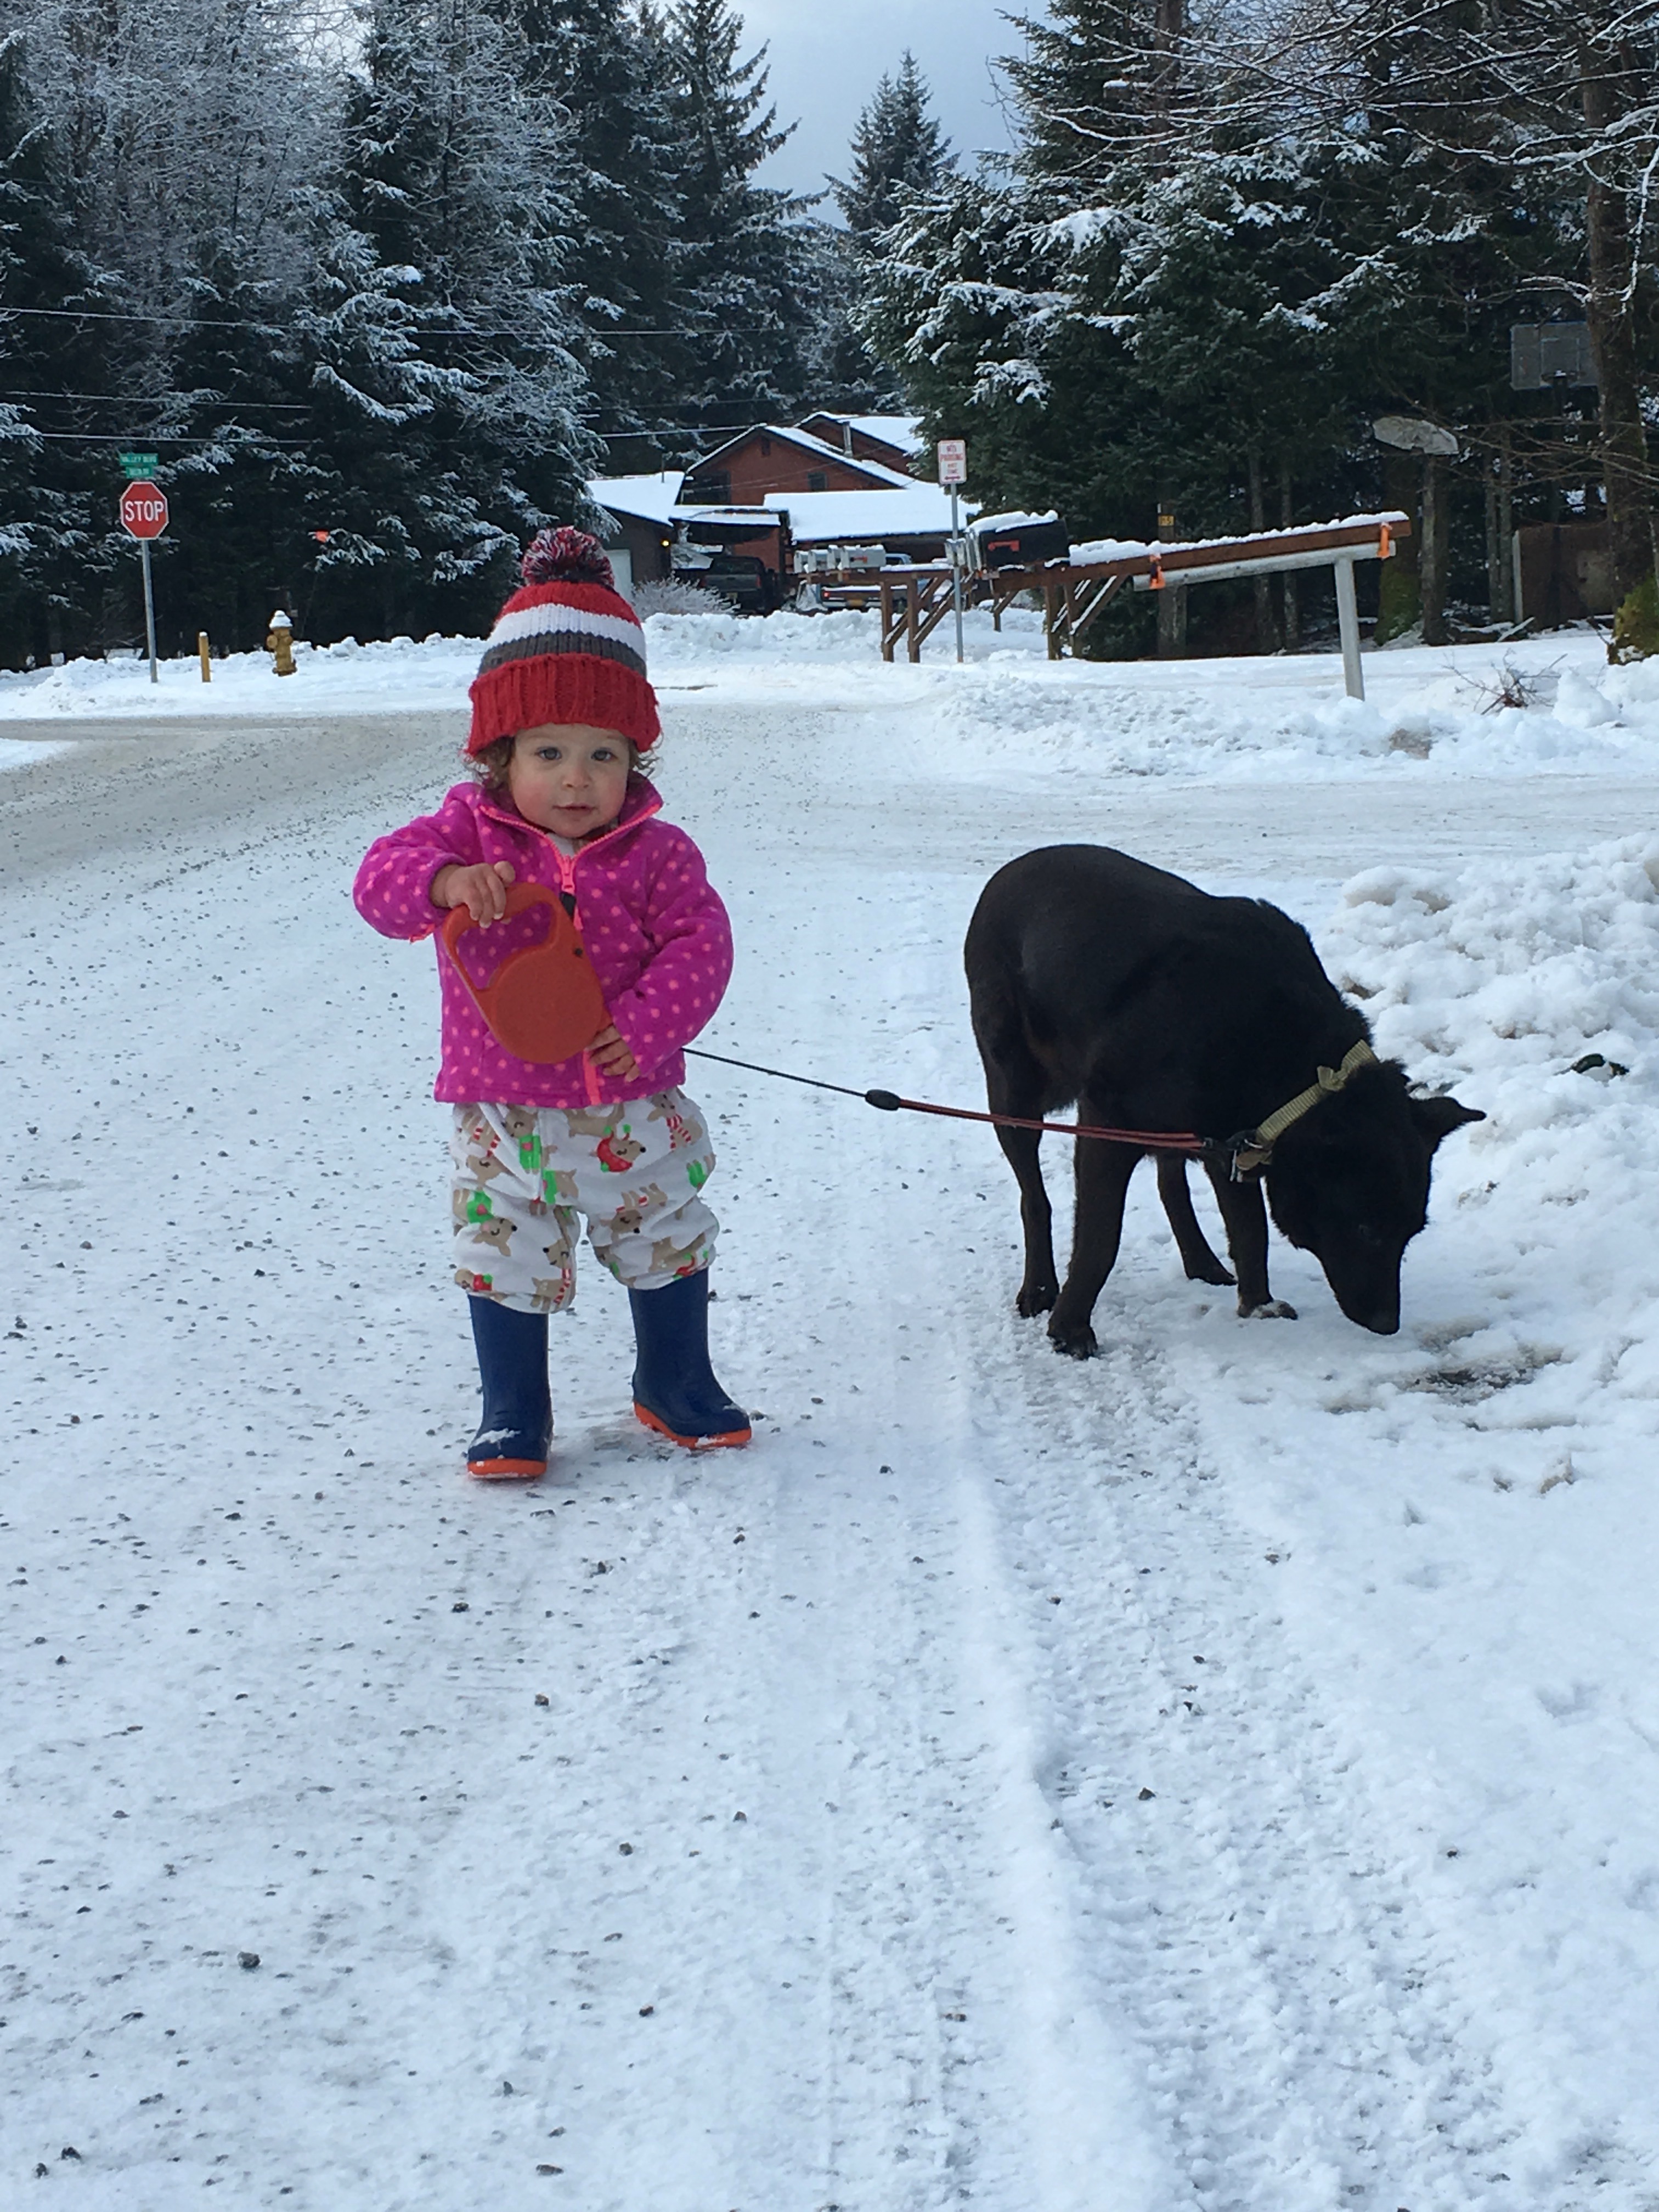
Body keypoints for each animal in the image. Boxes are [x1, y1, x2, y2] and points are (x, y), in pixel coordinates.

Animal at [965, 845, 1484, 1356]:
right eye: (1365, 1230)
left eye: (1410, 1232)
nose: (1386, 1325)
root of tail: (1012, 868)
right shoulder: (1109, 1124)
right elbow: (1100, 1239)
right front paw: (1069, 1328)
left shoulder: (1234, 1141)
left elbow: (1250, 1227)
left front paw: (1258, 1305)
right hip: (1016, 1095)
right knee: (1035, 1197)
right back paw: (1039, 1289)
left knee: (1169, 1182)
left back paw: (1201, 1262)